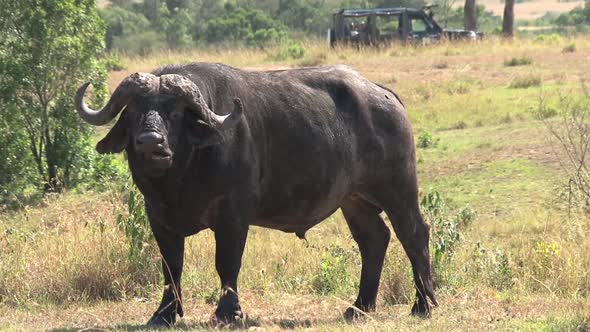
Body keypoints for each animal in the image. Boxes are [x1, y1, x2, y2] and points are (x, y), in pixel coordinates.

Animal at [75, 63, 440, 326]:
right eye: (135, 111)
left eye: (175, 113)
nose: (151, 143)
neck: (180, 178)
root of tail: (387, 97)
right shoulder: (159, 217)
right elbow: (170, 267)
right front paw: (163, 314)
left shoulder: (233, 216)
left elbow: (227, 263)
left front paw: (228, 313)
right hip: (353, 201)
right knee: (374, 240)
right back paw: (359, 307)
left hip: (398, 188)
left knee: (414, 234)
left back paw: (423, 304)